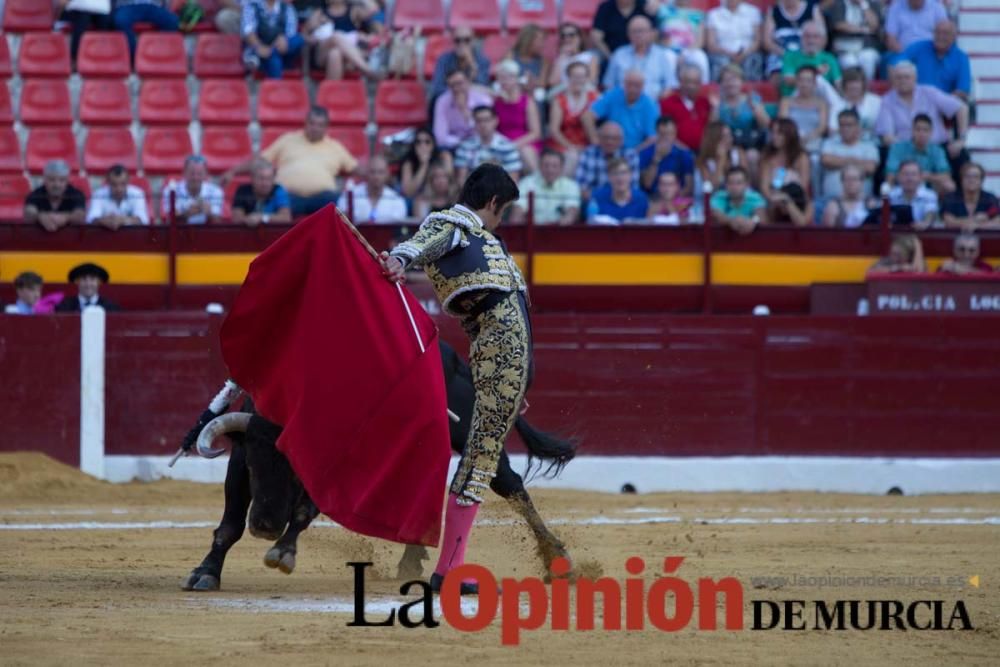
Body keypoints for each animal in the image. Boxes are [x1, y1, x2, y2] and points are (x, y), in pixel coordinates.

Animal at [183, 342, 576, 592]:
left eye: (297, 472)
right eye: (253, 462)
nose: (264, 527)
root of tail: (457, 361)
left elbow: (303, 511)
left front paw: (283, 552)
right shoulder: (237, 465)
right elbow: (229, 524)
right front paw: (205, 572)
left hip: (475, 433)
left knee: (508, 482)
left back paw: (557, 559)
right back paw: (412, 558)